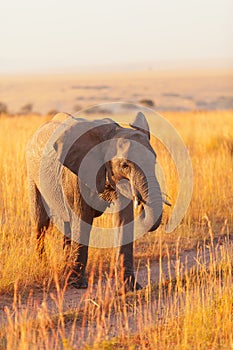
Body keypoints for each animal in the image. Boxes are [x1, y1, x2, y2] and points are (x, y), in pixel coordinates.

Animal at [26, 111, 163, 290]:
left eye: (154, 161)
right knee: (40, 223)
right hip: (32, 175)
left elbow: (123, 220)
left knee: (65, 224)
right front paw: (78, 284)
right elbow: (82, 218)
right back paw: (44, 265)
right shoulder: (76, 176)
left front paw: (130, 287)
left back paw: (65, 269)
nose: (140, 202)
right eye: (125, 165)